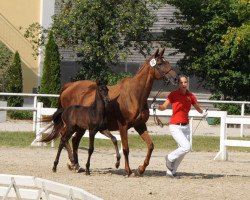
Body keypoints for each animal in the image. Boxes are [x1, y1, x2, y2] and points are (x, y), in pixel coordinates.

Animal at [42, 48, 178, 177]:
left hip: (80, 127)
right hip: (72, 126)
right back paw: (71, 164)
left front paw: (141, 168)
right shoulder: (123, 126)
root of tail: (68, 87)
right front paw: (128, 171)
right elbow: (126, 149)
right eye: (160, 63)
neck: (135, 94)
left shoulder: (140, 125)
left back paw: (76, 165)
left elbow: (150, 146)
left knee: (74, 140)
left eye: (167, 62)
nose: (176, 78)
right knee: (65, 138)